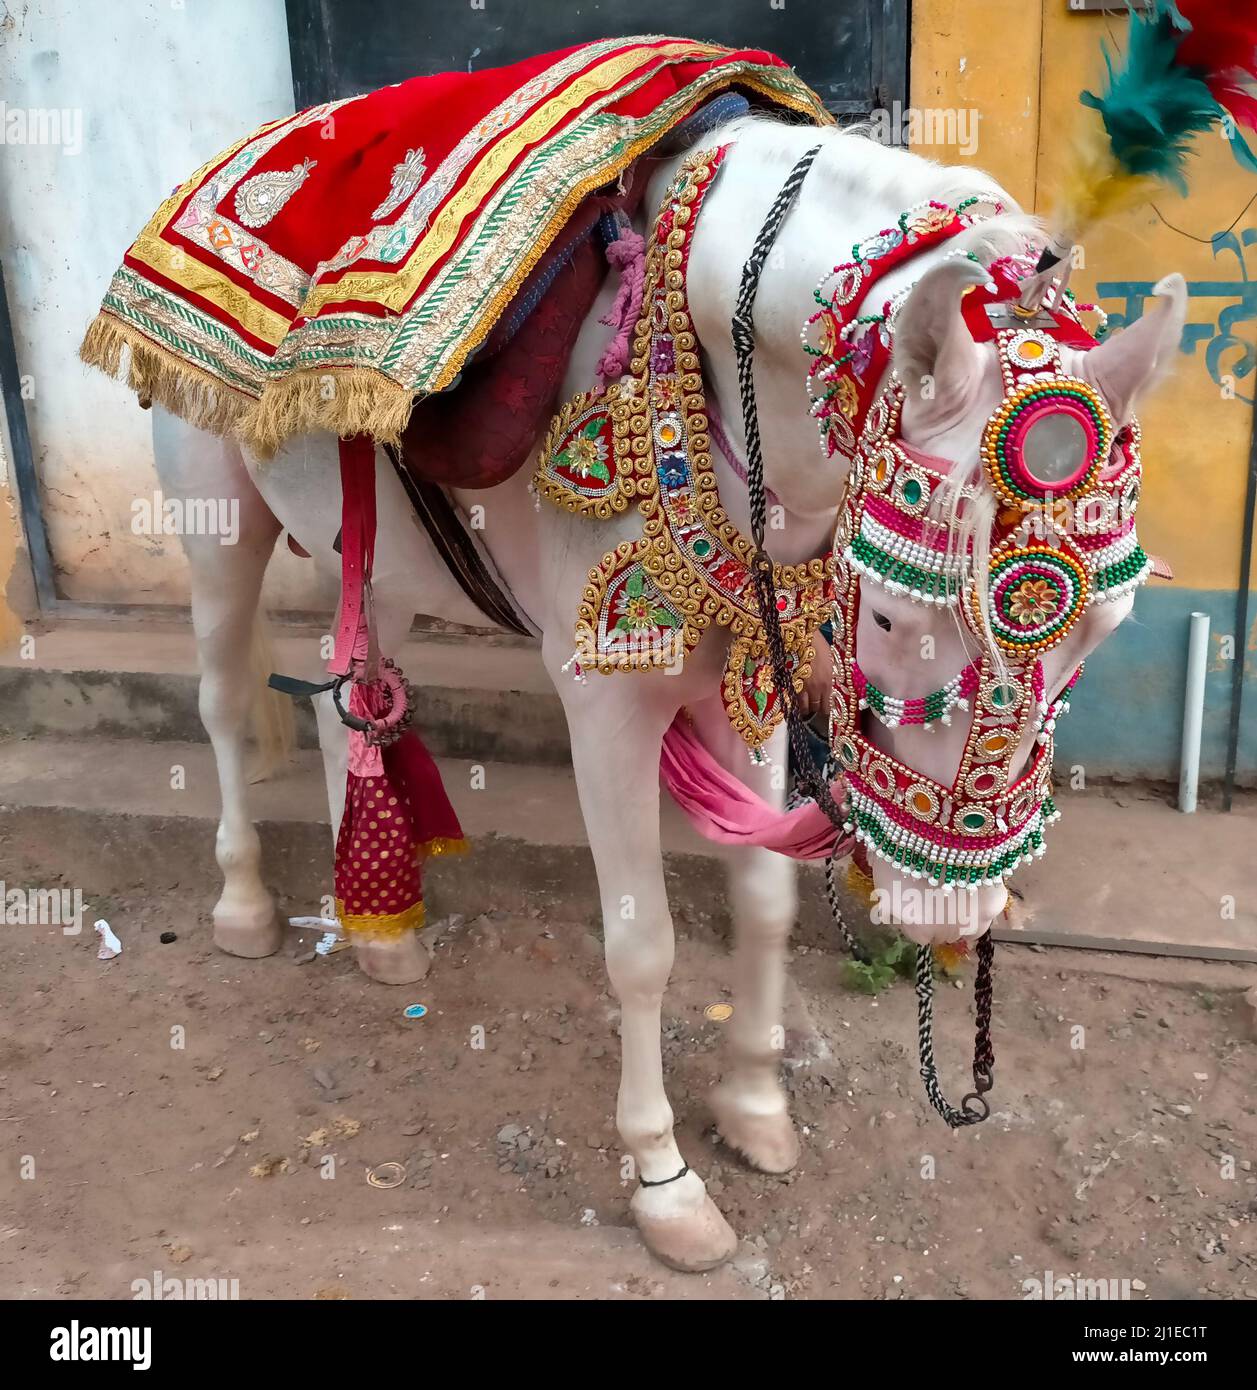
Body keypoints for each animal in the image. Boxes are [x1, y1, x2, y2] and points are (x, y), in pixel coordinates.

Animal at [142, 119, 1184, 1273]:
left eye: (1106, 630)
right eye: (886, 618)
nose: (946, 911)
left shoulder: (752, 676)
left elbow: (765, 899)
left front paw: (754, 1107)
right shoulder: (602, 700)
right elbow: (642, 947)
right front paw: (664, 1180)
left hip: (385, 561)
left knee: (348, 688)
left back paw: (377, 924)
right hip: (216, 519)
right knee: (224, 700)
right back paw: (247, 903)